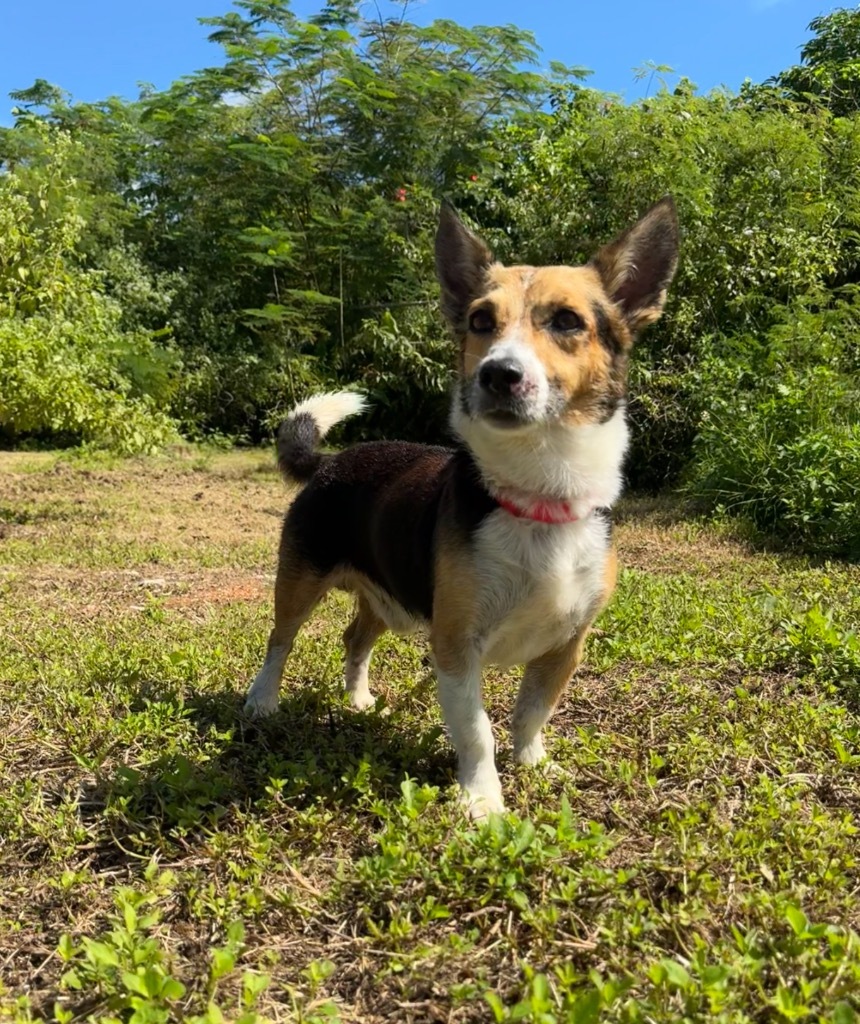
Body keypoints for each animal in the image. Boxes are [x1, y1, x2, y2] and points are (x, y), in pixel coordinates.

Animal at [245, 199, 683, 819]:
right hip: (300, 579)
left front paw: (533, 764)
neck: (535, 495)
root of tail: (331, 461)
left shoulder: (566, 645)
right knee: (279, 641)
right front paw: (482, 799)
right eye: (480, 321)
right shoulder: (455, 646)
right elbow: (477, 732)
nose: (498, 373)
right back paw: (262, 700)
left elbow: (531, 713)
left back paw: (357, 698)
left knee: (354, 639)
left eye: (567, 321)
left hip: (388, 598)